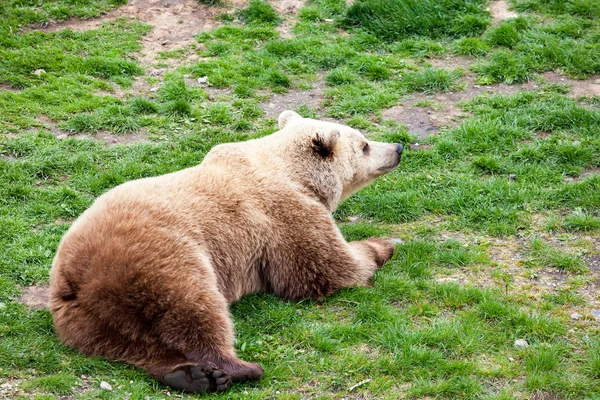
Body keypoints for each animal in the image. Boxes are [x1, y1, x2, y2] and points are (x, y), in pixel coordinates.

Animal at [50, 111, 404, 392]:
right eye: (364, 144)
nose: (398, 148)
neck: (299, 177)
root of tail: (74, 276)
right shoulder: (286, 215)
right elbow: (327, 268)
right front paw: (384, 245)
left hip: (87, 319)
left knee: (131, 344)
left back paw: (188, 376)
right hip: (161, 260)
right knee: (197, 310)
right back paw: (237, 368)